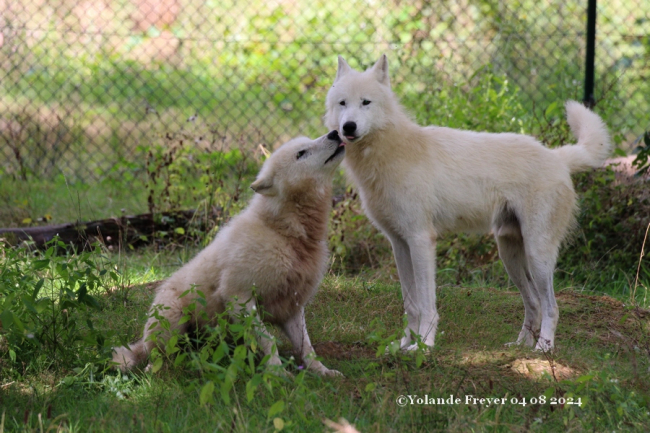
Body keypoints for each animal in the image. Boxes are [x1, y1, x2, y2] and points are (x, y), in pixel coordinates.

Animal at [111, 131, 344, 374]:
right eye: (301, 153)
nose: (335, 133)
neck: (284, 232)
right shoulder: (239, 298)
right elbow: (268, 340)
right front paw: (277, 374)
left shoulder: (292, 307)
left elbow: (306, 347)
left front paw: (322, 372)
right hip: (172, 320)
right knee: (156, 358)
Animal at [326, 54, 612, 352]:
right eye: (343, 103)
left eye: (366, 102)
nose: (348, 127)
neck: (388, 151)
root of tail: (557, 157)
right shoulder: (399, 245)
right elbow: (411, 305)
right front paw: (404, 344)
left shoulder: (421, 240)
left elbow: (427, 305)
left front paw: (425, 346)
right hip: (509, 254)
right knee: (533, 302)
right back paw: (519, 345)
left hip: (537, 255)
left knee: (551, 307)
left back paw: (543, 349)